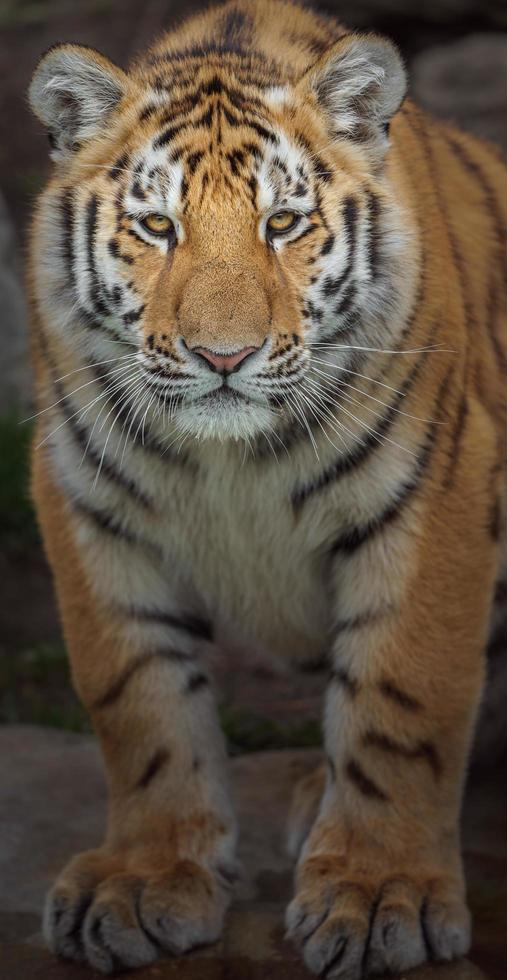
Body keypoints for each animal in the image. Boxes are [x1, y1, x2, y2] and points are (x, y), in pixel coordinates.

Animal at [27, 0, 507, 976]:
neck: (231, 461)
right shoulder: (85, 499)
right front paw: (143, 879)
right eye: (157, 227)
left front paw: (378, 892)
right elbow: (135, 704)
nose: (224, 357)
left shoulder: (437, 489)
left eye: (282, 223)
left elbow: (403, 701)